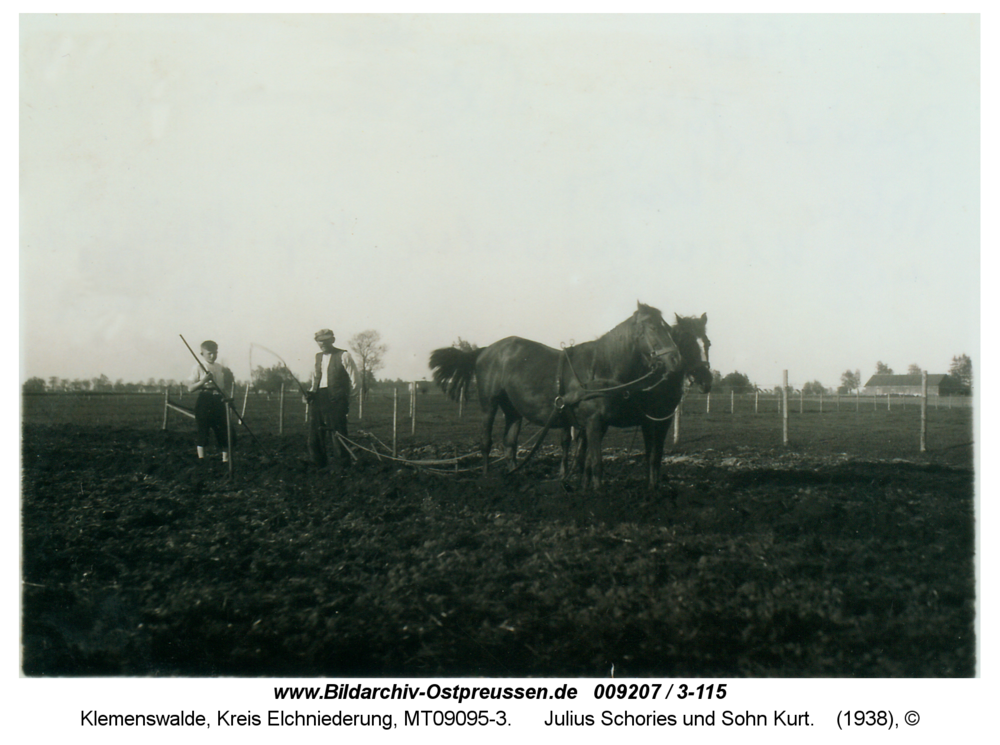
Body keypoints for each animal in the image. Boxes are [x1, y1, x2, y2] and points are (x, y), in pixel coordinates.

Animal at [426, 300, 684, 482]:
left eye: (668, 328)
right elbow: (590, 460)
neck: (599, 366)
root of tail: (485, 350)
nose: (675, 359)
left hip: (513, 410)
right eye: (653, 327)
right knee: (486, 442)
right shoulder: (591, 421)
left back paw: (513, 475)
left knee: (509, 444)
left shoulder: (593, 424)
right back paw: (487, 476)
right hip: (489, 403)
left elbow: (584, 458)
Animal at [572, 310, 712, 488]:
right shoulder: (648, 422)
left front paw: (654, 484)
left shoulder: (664, 422)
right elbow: (650, 456)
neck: (659, 385)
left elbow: (656, 456)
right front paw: (651, 486)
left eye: (707, 344)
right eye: (688, 343)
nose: (706, 381)